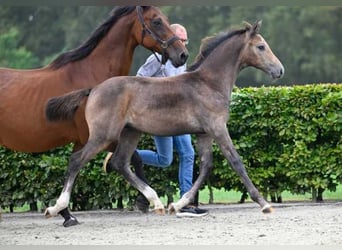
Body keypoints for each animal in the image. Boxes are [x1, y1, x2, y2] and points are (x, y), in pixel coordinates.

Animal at [0, 5, 187, 226]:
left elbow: (75, 166)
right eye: (157, 21)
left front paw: (66, 214)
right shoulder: (100, 137)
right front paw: (147, 201)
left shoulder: (83, 140)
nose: (183, 54)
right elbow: (131, 159)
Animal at [45, 20, 284, 219]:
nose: (280, 70)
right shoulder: (218, 128)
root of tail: (93, 89)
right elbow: (236, 162)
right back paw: (56, 208)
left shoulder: (204, 134)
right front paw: (264, 203)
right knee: (77, 160)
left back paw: (157, 202)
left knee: (119, 162)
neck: (209, 83)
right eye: (261, 46)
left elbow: (205, 166)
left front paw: (177, 205)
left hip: (131, 132)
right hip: (104, 135)